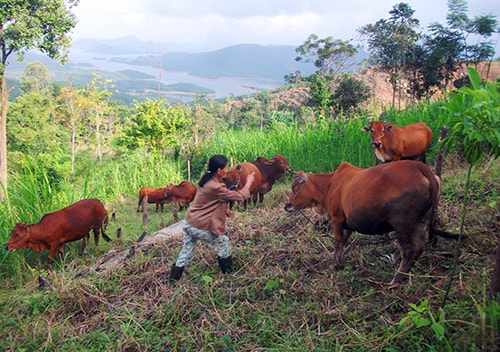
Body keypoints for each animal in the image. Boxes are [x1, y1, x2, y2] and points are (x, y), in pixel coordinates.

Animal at [286, 161, 458, 284]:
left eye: (294, 187)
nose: (287, 205)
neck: (329, 185)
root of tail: (420, 167)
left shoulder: (337, 219)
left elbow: (337, 242)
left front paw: (334, 264)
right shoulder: (348, 224)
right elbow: (343, 242)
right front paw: (339, 261)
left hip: (401, 223)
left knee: (409, 250)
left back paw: (396, 279)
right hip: (421, 220)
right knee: (419, 247)